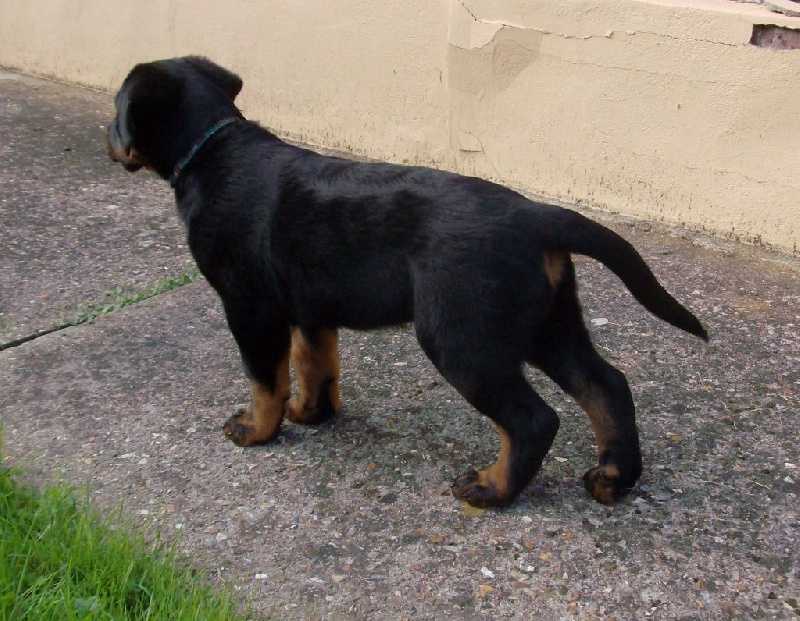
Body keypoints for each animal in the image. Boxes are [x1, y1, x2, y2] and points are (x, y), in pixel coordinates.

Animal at [107, 56, 707, 508]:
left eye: (116, 112)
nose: (107, 138)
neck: (210, 151)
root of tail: (538, 215)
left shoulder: (249, 309)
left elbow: (265, 379)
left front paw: (256, 430)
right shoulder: (309, 310)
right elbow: (313, 366)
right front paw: (310, 413)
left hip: (463, 338)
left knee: (534, 419)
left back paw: (491, 489)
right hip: (547, 324)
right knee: (606, 387)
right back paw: (613, 478)